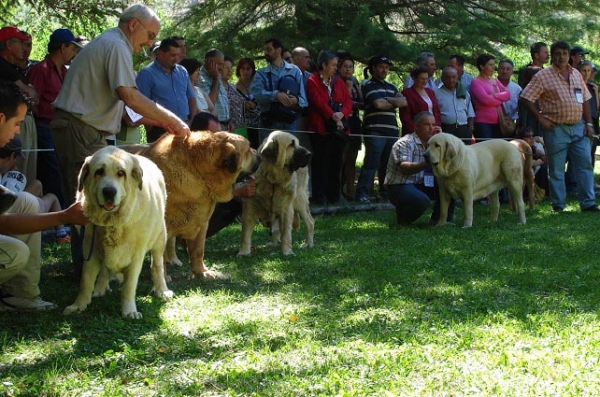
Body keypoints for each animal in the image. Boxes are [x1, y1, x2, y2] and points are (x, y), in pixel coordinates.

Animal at [64, 145, 172, 318]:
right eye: (99, 171)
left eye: (121, 173)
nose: (109, 191)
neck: (111, 223)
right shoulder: (90, 250)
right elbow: (86, 280)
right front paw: (78, 305)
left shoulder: (136, 256)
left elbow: (129, 286)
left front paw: (129, 311)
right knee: (104, 270)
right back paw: (100, 288)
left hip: (160, 238)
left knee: (157, 265)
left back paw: (162, 290)